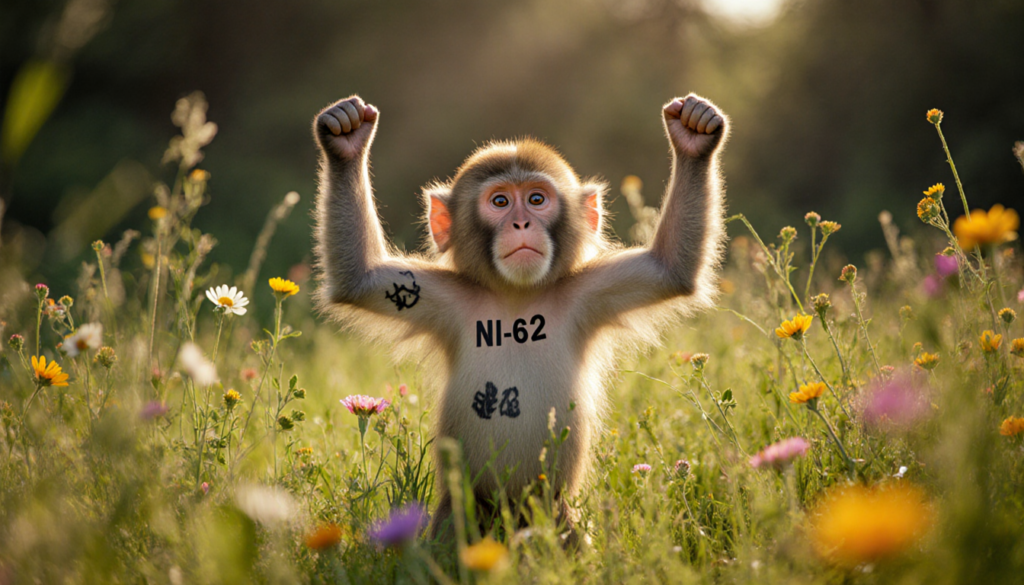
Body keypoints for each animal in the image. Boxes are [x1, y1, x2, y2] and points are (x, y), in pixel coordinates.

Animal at [312, 93, 727, 541]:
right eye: (499, 201)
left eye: (536, 199)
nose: (521, 222)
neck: (516, 296)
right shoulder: (445, 298)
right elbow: (359, 277)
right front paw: (346, 140)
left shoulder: (587, 292)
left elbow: (670, 269)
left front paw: (694, 138)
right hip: (460, 521)